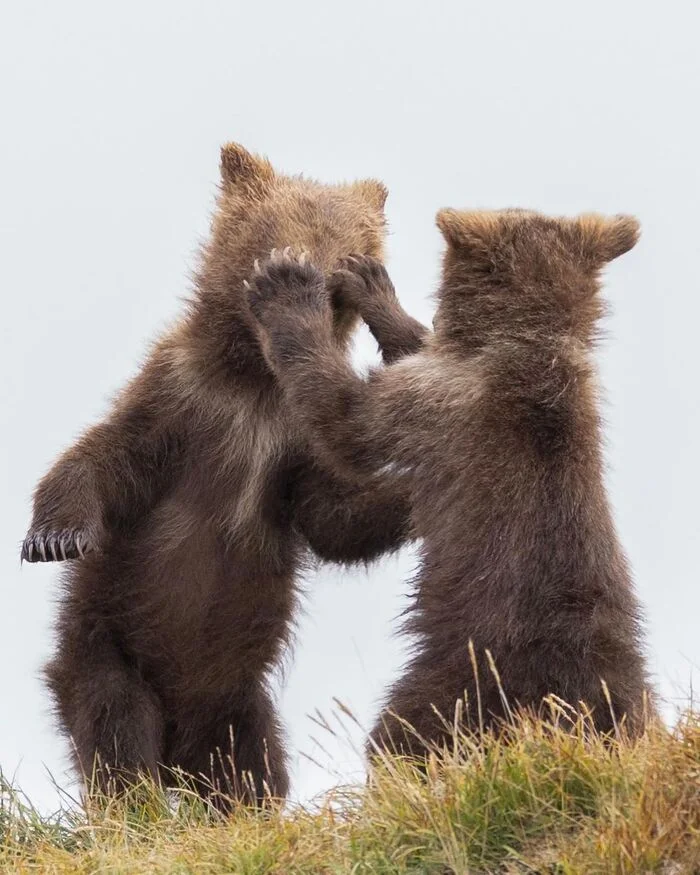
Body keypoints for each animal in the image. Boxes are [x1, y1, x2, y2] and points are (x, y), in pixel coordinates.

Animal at [21, 144, 418, 808]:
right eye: (280, 231)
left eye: (345, 244)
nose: (312, 276)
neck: (254, 382)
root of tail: (181, 742)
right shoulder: (183, 404)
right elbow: (107, 455)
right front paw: (55, 535)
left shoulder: (292, 441)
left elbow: (334, 518)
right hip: (105, 641)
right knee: (115, 726)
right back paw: (137, 801)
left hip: (237, 697)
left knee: (250, 767)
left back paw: (242, 806)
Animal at [245, 210, 652, 760]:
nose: (362, 270)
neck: (529, 342)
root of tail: (573, 712)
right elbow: (414, 349)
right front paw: (370, 284)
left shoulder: (439, 404)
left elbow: (348, 418)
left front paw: (286, 288)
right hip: (629, 687)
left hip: (461, 673)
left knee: (401, 736)